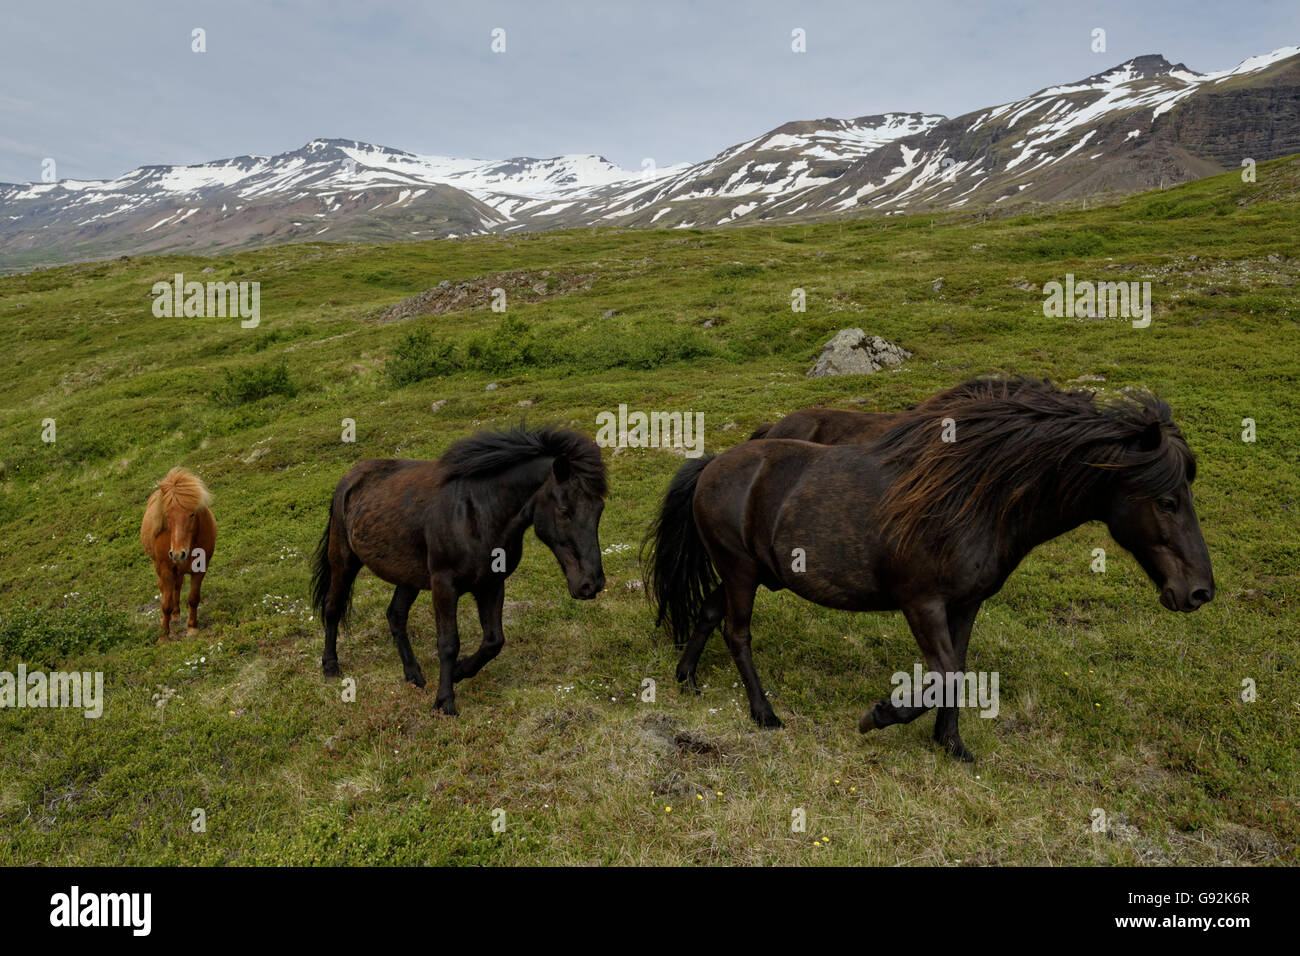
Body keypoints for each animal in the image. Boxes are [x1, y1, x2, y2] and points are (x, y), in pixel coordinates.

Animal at [140, 468, 217, 639]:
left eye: (192, 514)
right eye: (167, 515)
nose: (177, 554)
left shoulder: (200, 568)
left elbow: (193, 598)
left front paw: (192, 628)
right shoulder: (166, 569)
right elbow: (165, 604)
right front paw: (164, 635)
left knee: (177, 586)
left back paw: (176, 614)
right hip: (160, 566)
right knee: (165, 588)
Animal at [312, 429, 605, 717]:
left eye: (599, 509)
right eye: (565, 510)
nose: (591, 584)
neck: (476, 514)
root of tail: (350, 477)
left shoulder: (492, 584)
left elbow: (493, 641)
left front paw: (459, 672)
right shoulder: (444, 585)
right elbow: (448, 643)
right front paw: (444, 702)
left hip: (409, 577)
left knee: (395, 615)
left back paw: (413, 674)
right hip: (343, 560)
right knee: (333, 608)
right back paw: (330, 666)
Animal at [644, 377, 1211, 759]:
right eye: (1166, 501)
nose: (1200, 592)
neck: (977, 497)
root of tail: (715, 463)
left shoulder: (966, 603)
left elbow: (958, 670)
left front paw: (950, 744)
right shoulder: (922, 603)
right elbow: (943, 672)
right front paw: (881, 715)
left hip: (752, 573)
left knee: (709, 612)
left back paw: (687, 679)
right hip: (741, 572)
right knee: (737, 633)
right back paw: (764, 714)